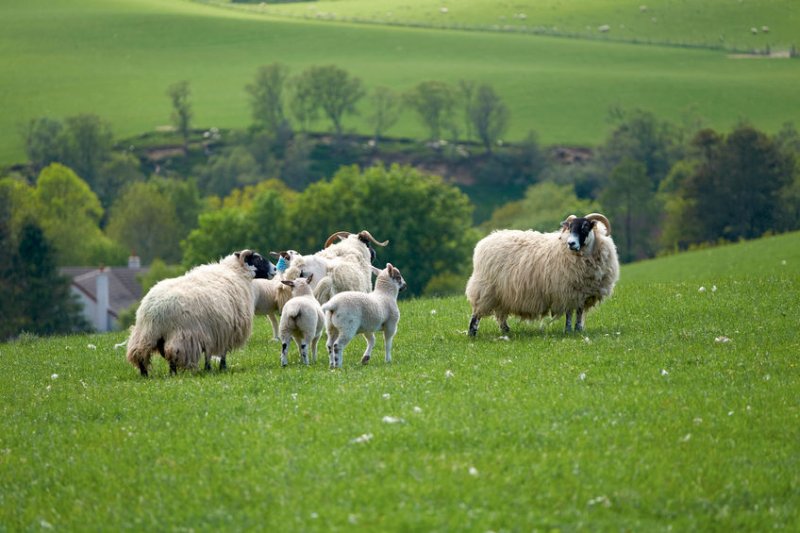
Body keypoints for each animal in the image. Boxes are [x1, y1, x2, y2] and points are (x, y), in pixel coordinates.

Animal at [125, 248, 276, 376]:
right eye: (258, 259)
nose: (275, 269)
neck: (236, 272)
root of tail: (153, 310)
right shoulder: (224, 329)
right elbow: (221, 352)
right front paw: (220, 368)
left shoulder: (213, 331)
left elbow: (210, 353)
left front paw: (210, 368)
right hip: (181, 335)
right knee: (171, 354)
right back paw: (172, 374)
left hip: (146, 334)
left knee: (140, 354)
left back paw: (146, 375)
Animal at [466, 213, 620, 334]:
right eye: (570, 228)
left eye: (585, 227)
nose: (571, 243)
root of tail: (484, 242)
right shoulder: (567, 291)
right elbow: (569, 314)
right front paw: (568, 331)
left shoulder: (582, 294)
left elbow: (579, 312)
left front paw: (578, 330)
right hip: (485, 289)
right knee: (476, 313)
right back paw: (472, 333)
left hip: (502, 294)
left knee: (500, 313)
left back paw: (506, 331)